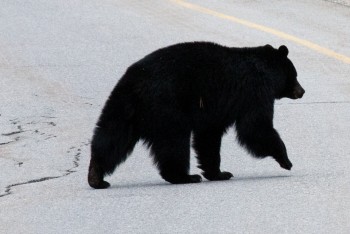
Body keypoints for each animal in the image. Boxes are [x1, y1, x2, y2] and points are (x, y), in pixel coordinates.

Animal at [87, 41, 304, 188]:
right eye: (295, 75)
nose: (302, 91)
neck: (265, 68)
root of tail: (134, 81)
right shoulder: (255, 90)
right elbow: (255, 127)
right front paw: (286, 160)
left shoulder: (215, 110)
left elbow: (208, 137)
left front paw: (218, 173)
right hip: (167, 106)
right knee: (174, 142)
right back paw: (184, 177)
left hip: (125, 107)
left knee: (112, 135)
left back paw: (96, 176)